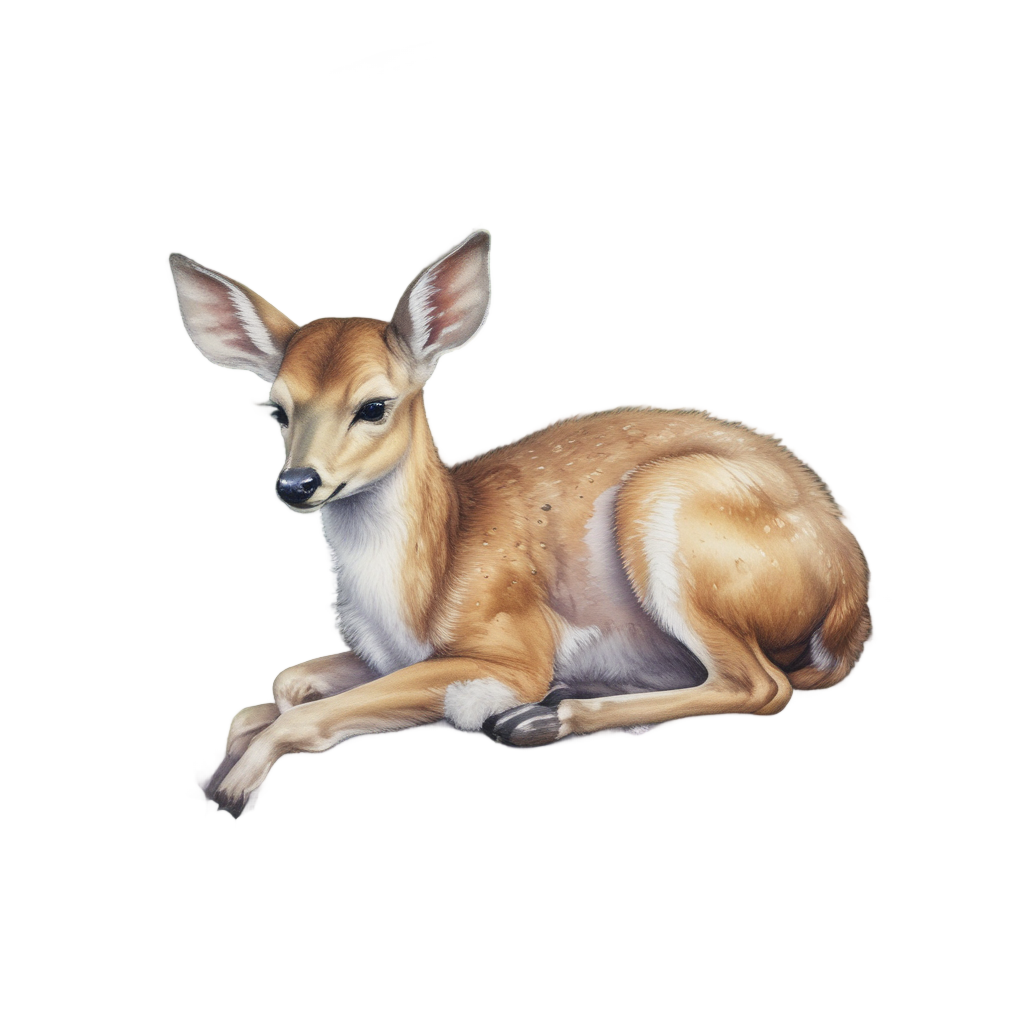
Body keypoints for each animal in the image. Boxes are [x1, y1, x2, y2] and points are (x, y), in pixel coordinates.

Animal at [169, 231, 868, 814]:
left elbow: (312, 710)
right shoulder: (386, 657)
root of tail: (848, 592)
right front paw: (245, 732)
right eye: (278, 409)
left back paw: (543, 718)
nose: (296, 484)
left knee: (761, 685)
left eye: (374, 405)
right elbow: (290, 679)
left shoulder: (510, 644)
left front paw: (233, 783)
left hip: (665, 510)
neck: (426, 580)